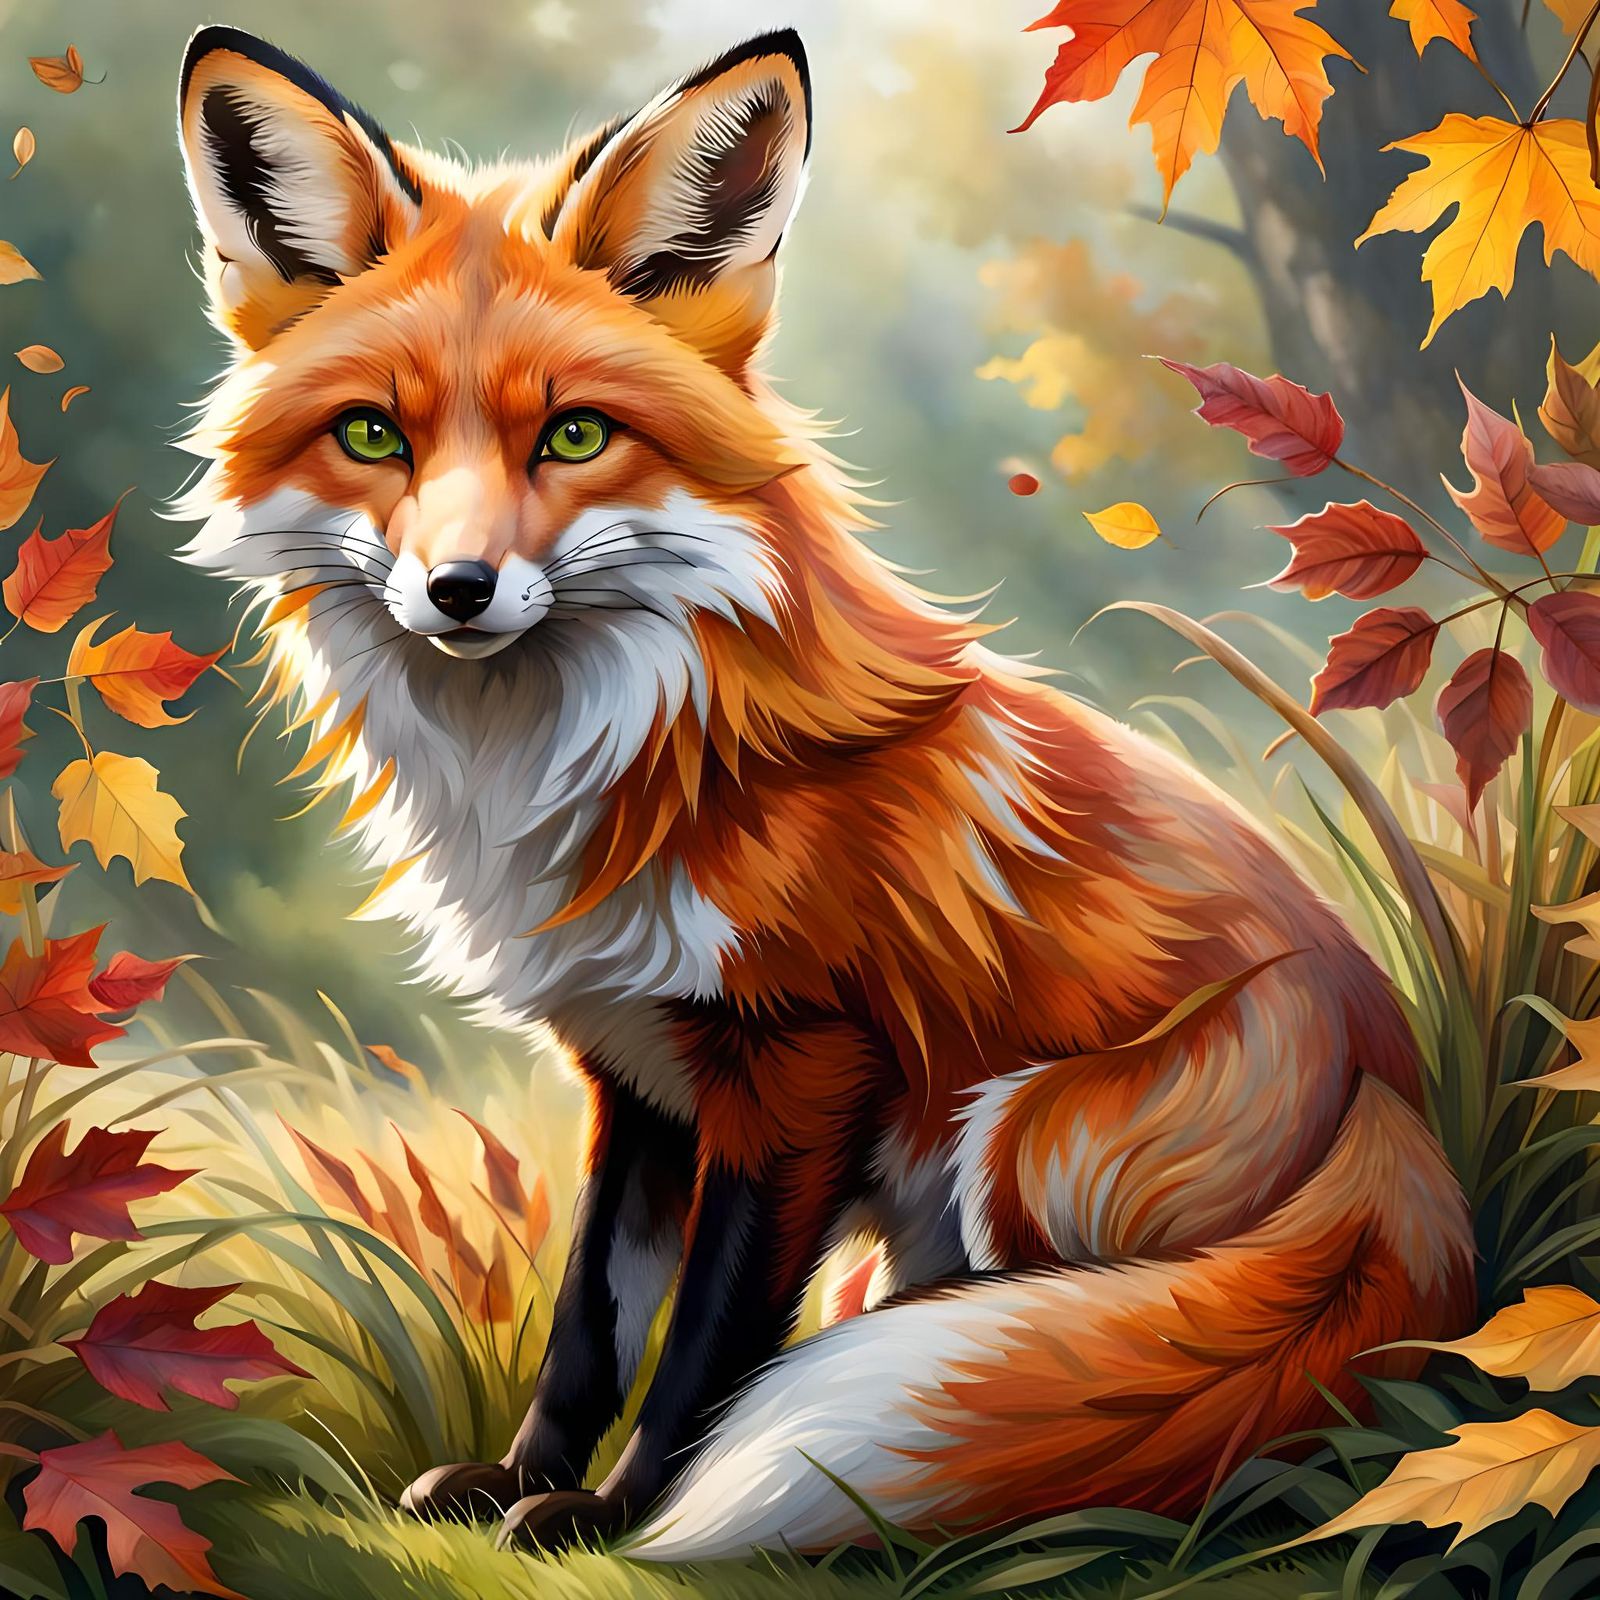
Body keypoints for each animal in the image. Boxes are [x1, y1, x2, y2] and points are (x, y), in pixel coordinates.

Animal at [173, 23, 1476, 1561]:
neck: (613, 767)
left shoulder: (801, 1068)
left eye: (574, 438)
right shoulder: (636, 1069)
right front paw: (516, 1486)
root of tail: (1399, 1104)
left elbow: (705, 1354)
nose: (459, 590)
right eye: (375, 437)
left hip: (1019, 1134)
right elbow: (590, 1325)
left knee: (1054, 1344)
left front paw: (620, 1518)